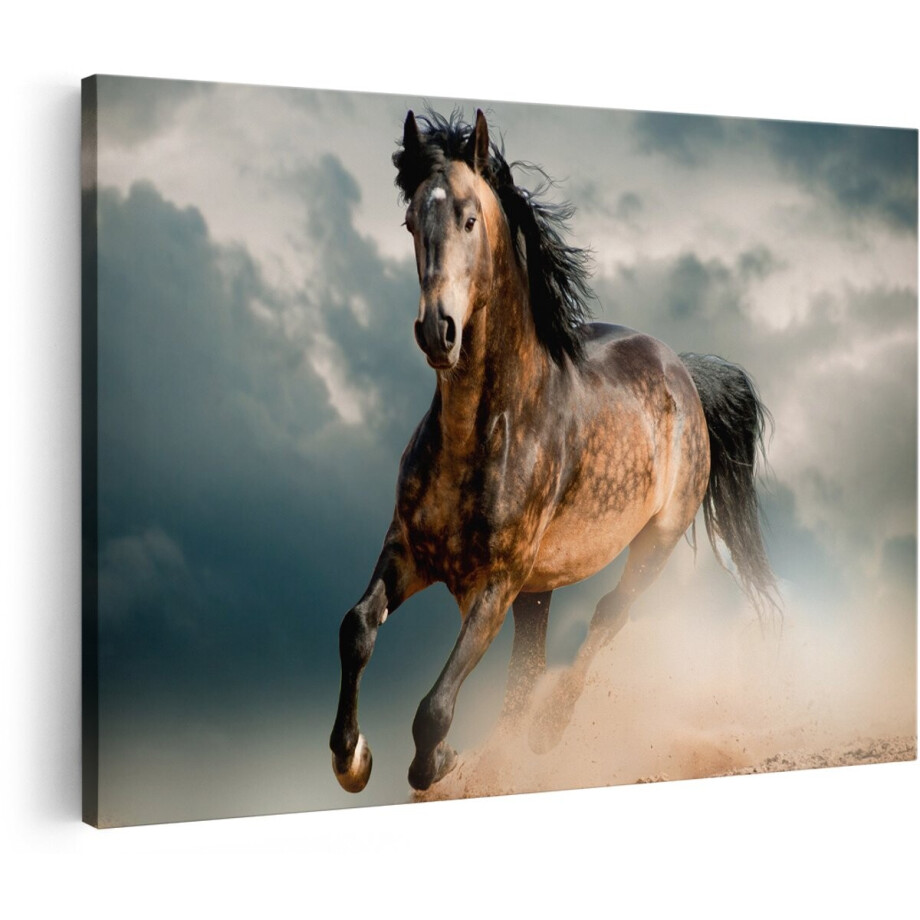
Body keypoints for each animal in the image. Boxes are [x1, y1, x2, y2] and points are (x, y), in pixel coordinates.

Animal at [330, 108, 778, 794]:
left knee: (606, 619)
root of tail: (685, 375)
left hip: (653, 544)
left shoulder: (497, 581)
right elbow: (357, 628)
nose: (437, 331)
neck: (486, 431)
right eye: (410, 222)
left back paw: (547, 731)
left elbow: (434, 707)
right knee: (530, 667)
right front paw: (351, 757)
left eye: (468, 218)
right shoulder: (408, 551)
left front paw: (438, 761)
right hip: (539, 590)